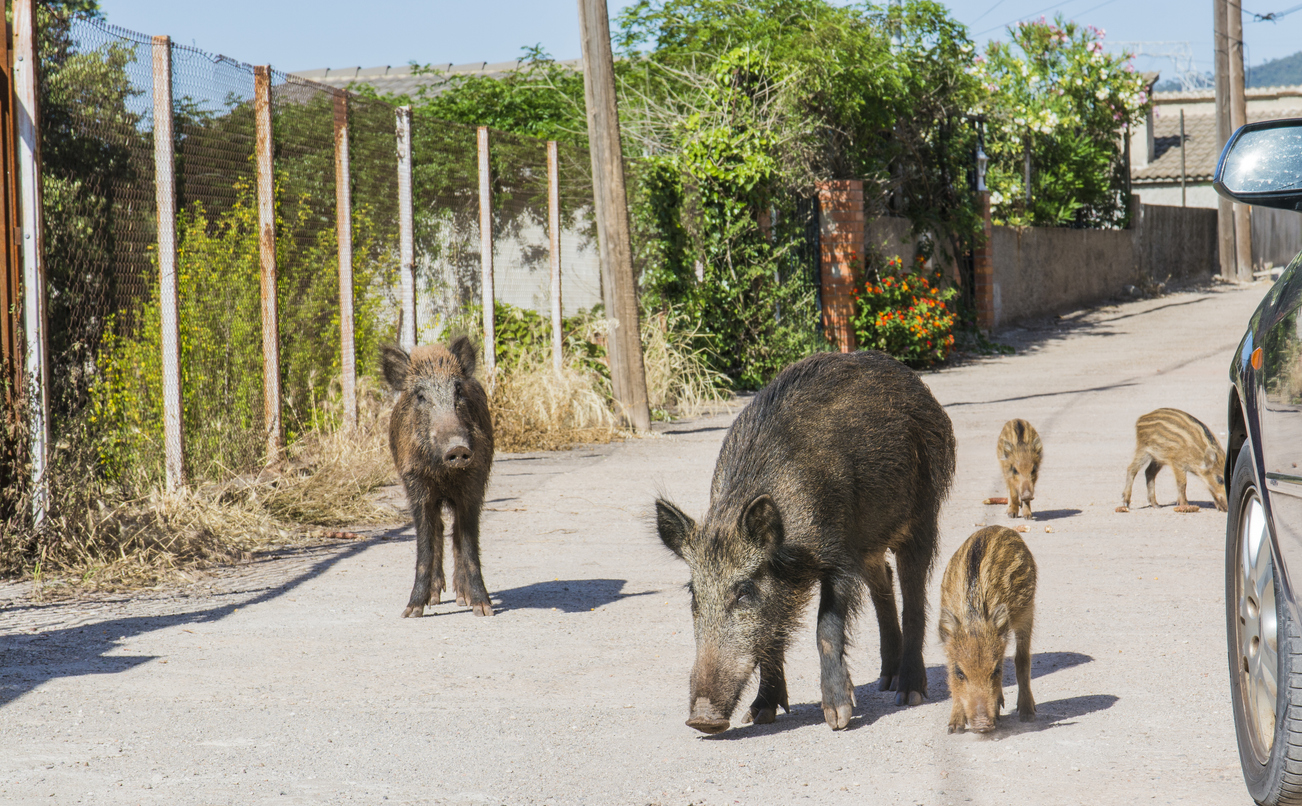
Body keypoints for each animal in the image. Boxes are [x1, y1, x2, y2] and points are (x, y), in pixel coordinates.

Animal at [380, 337, 495, 618]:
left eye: (458, 391)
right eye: (421, 395)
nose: (458, 447)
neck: (443, 473)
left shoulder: (473, 486)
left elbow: (468, 543)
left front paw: (483, 609)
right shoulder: (416, 487)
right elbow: (425, 544)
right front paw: (411, 611)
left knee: (454, 531)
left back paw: (462, 598)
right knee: (439, 530)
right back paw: (434, 598)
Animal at [656, 350, 956, 733]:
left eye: (744, 591)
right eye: (694, 593)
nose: (702, 720)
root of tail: (913, 381)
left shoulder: (837, 556)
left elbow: (824, 629)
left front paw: (838, 719)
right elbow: (773, 634)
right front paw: (759, 715)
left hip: (923, 512)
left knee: (914, 596)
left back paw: (909, 693)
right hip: (869, 541)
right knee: (883, 581)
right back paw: (884, 681)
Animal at [938, 526, 1037, 734]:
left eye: (996, 670)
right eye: (960, 672)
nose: (982, 725)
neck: (974, 617)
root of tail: (1001, 528)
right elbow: (951, 680)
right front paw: (954, 727)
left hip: (1027, 611)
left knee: (1022, 658)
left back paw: (1027, 713)